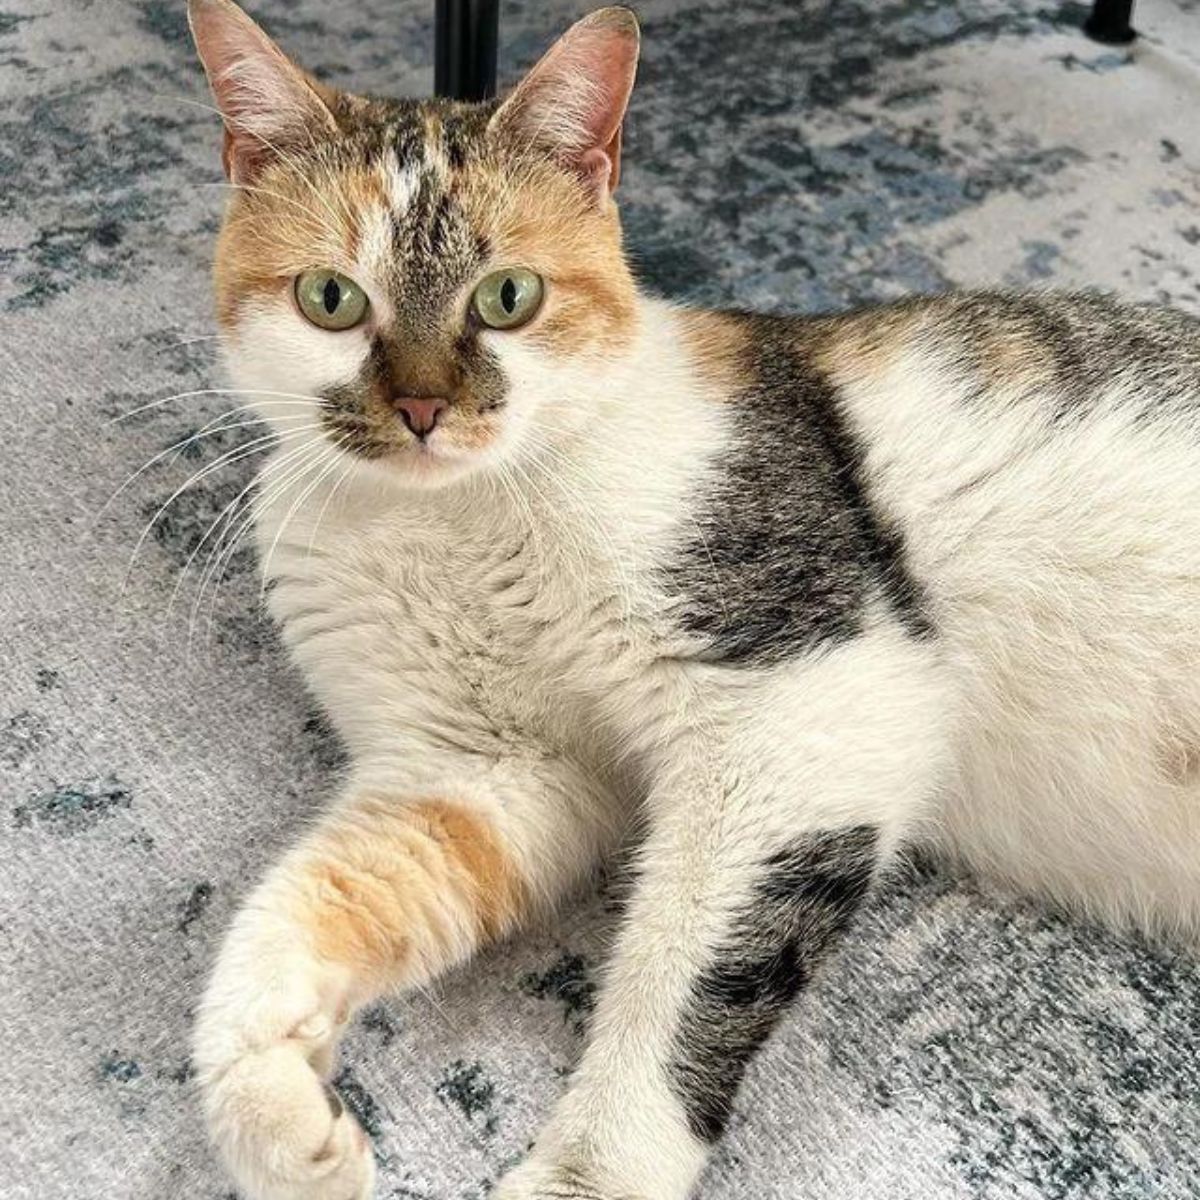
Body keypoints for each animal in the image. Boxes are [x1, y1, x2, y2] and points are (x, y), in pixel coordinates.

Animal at [184, 2, 1200, 1200]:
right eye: (331, 299)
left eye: (509, 297)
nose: (425, 407)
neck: (456, 521)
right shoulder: (486, 767)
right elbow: (317, 899)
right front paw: (281, 1121)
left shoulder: (815, 696)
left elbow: (684, 974)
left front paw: (587, 1170)